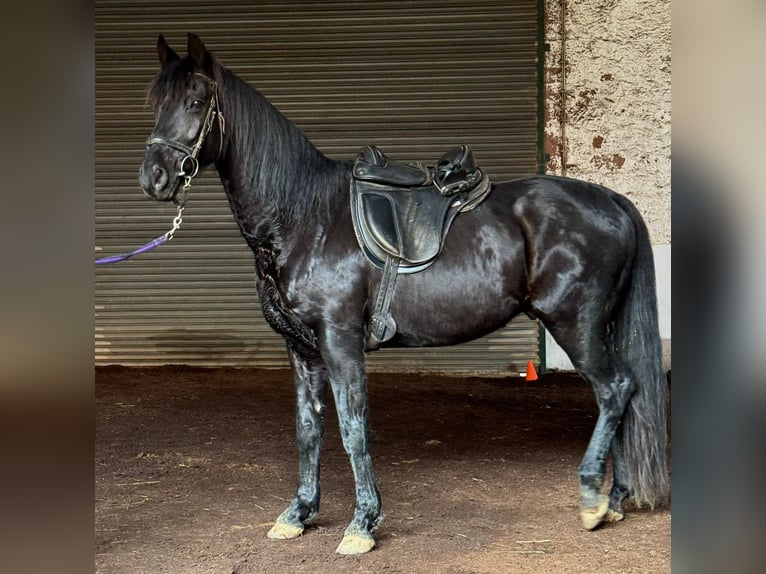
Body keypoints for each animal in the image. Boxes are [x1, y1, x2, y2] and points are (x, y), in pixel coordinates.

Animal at [138, 33, 669, 555]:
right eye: (155, 102)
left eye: (196, 100)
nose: (154, 178)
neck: (304, 217)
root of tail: (612, 201)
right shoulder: (302, 349)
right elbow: (308, 429)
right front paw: (298, 514)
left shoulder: (340, 342)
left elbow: (353, 428)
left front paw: (362, 524)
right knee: (621, 397)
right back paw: (615, 500)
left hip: (575, 323)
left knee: (615, 389)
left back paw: (592, 500)